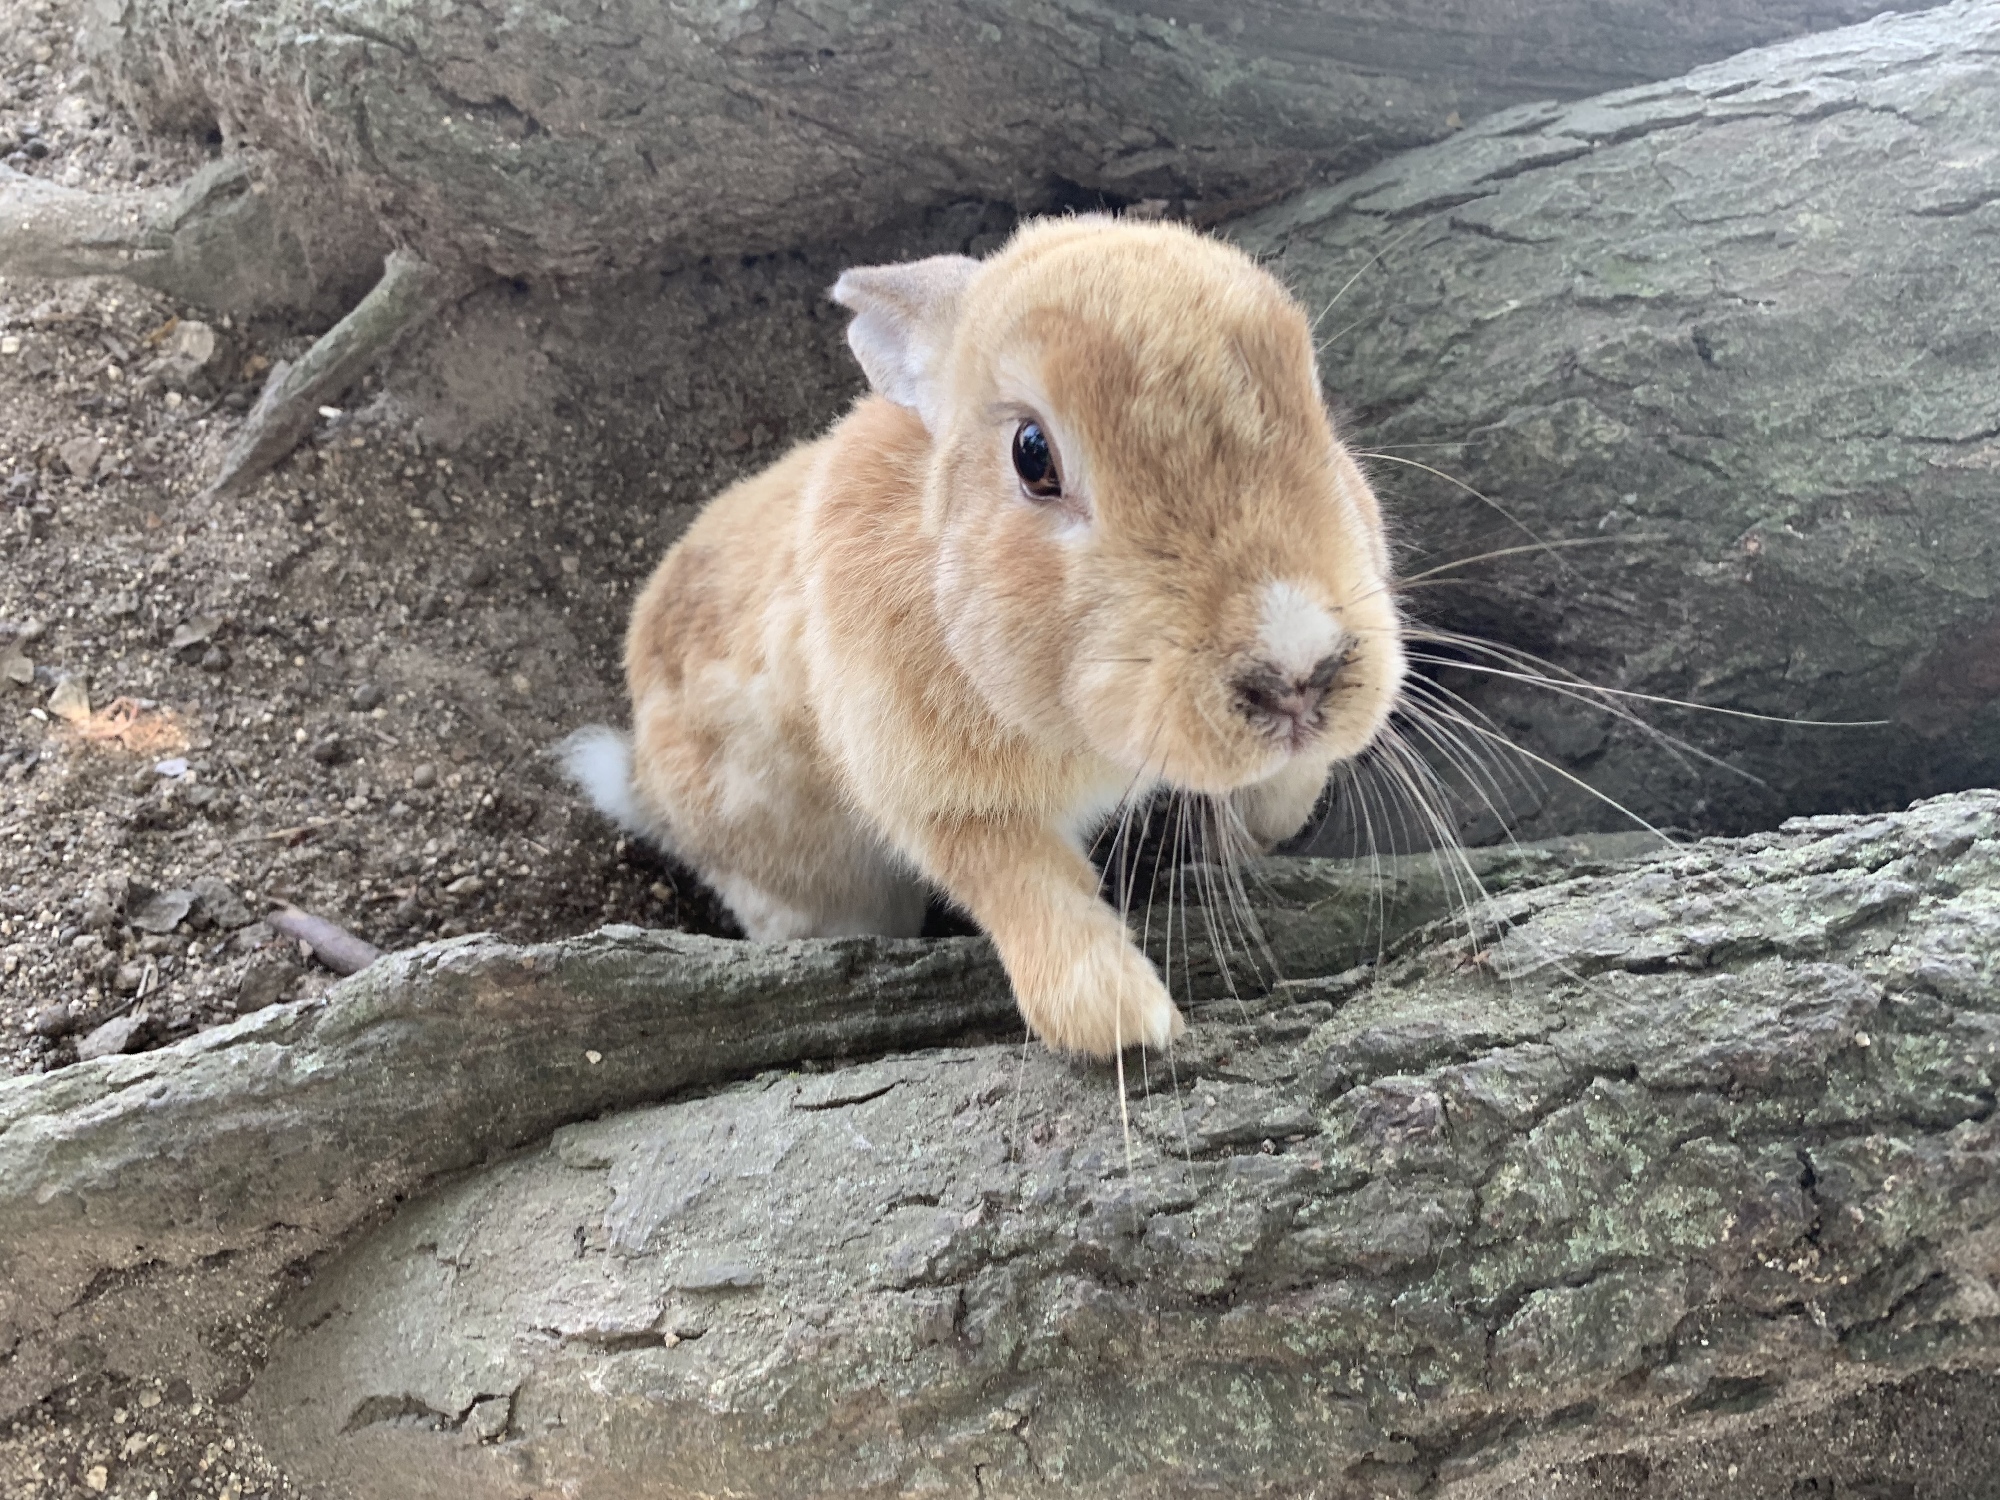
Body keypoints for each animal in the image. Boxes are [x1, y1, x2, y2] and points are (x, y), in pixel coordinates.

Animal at [564, 217, 1408, 1064]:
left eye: (1315, 402)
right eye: (1033, 454)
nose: (1300, 670)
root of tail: (643, 778)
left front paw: (1259, 832)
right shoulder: (944, 802)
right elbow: (1024, 885)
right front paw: (1119, 1020)